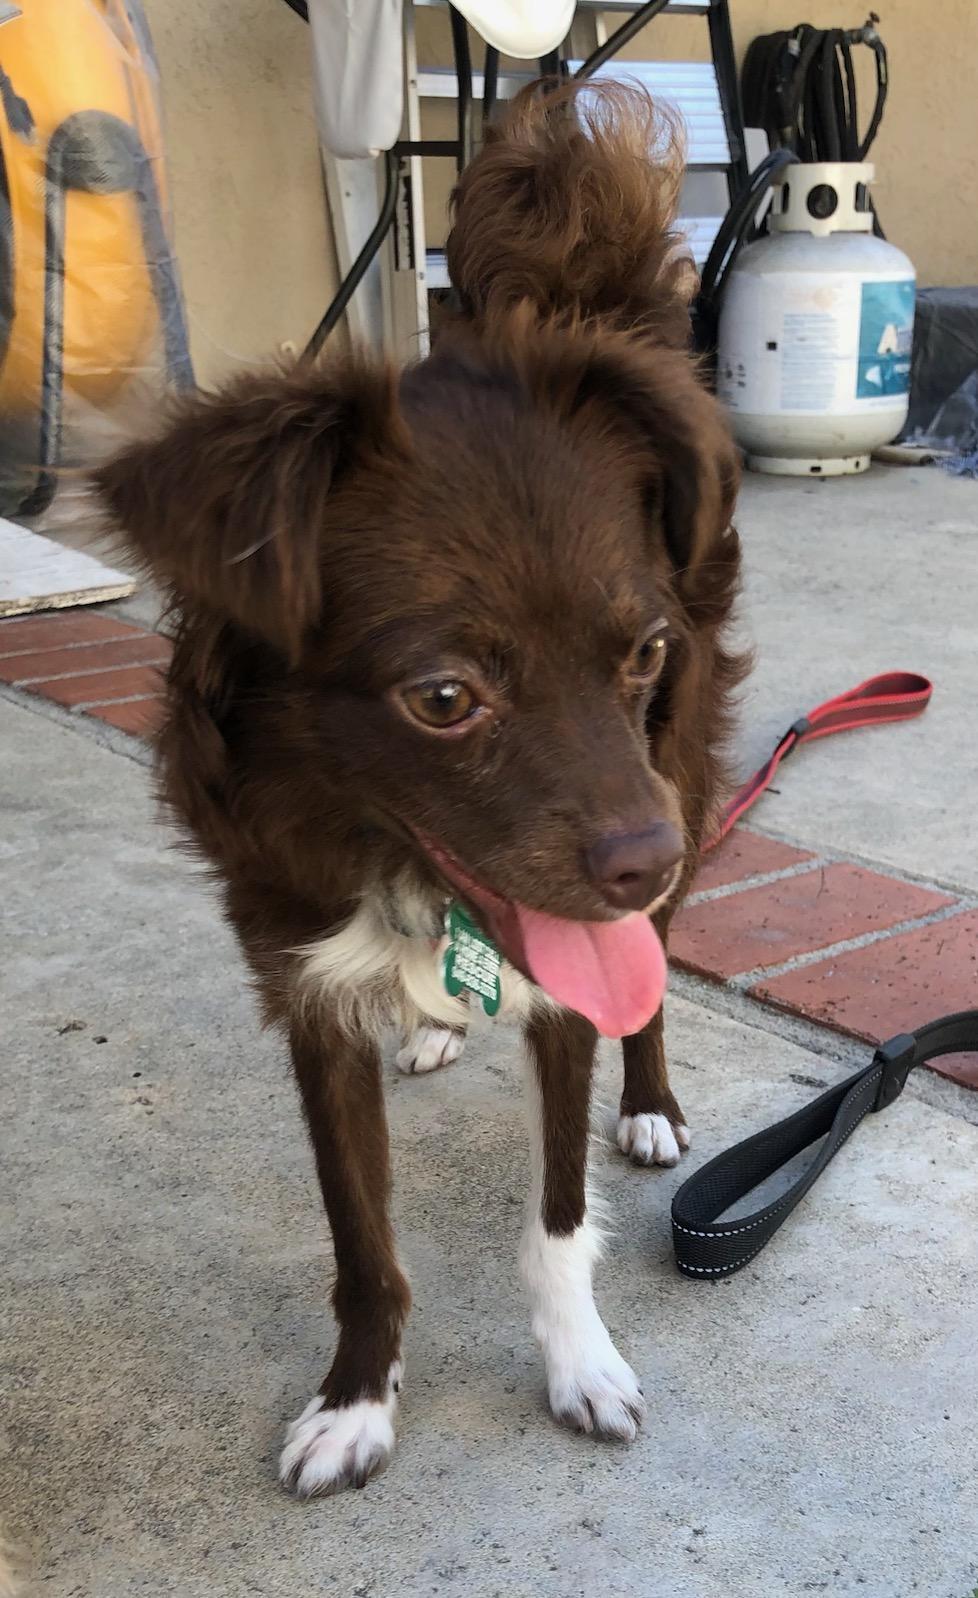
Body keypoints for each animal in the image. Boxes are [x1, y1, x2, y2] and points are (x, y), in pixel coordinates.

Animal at [95, 81, 744, 1489]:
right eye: (443, 699)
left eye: (641, 650)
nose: (647, 862)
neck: (397, 867)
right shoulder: (304, 993)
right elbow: (361, 1243)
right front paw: (358, 1397)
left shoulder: (579, 974)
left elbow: (556, 1218)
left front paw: (580, 1364)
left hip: (685, 777)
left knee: (651, 995)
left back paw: (649, 1103)